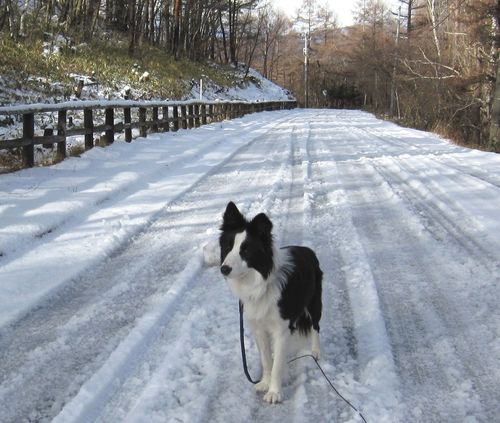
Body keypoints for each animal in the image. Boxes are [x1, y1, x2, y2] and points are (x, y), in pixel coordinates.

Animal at [220, 202, 324, 404]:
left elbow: (277, 366)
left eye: (246, 250)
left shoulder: (281, 328)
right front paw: (265, 383)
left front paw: (275, 392)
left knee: (316, 326)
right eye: (228, 247)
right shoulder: (259, 327)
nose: (224, 269)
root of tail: (308, 250)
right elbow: (267, 360)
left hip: (314, 302)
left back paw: (316, 351)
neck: (261, 284)